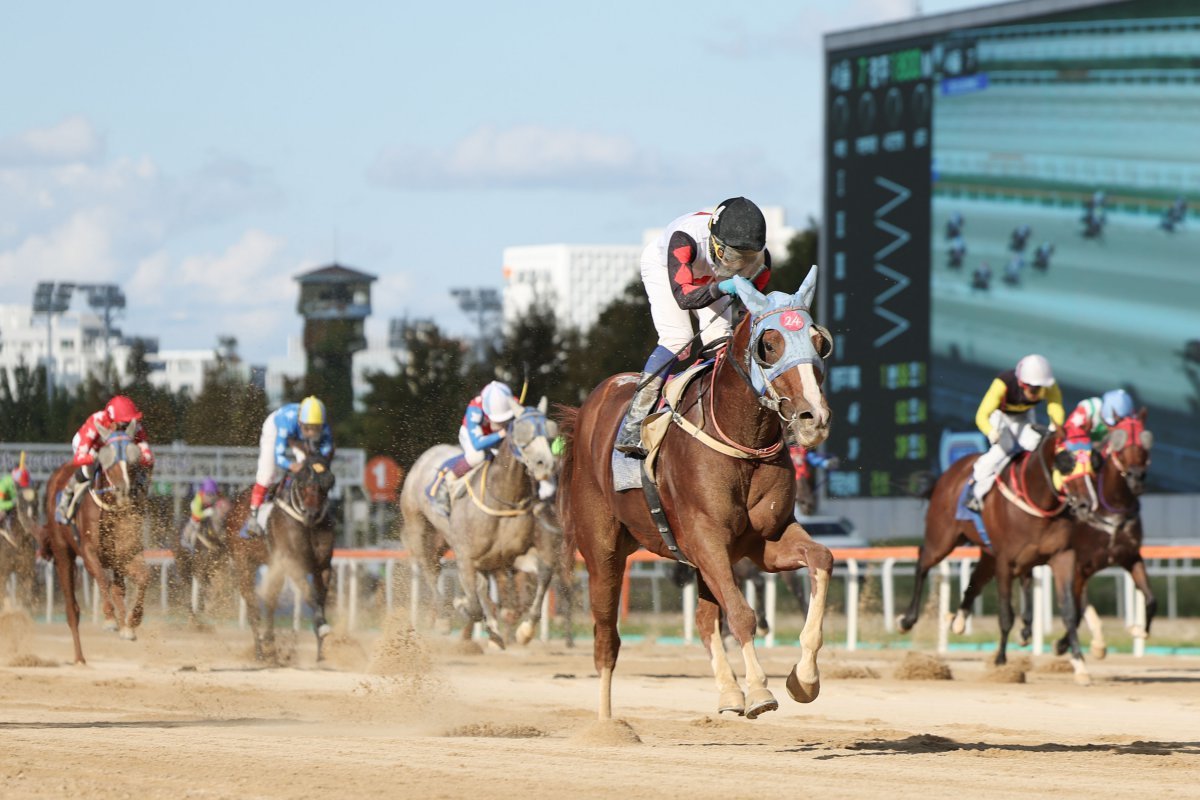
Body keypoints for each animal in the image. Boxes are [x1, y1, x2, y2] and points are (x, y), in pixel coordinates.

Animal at [43, 431, 152, 662]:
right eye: (107, 459)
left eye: (133, 459)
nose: (124, 489)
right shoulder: (89, 552)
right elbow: (101, 579)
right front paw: (110, 620)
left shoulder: (126, 554)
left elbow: (143, 577)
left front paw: (131, 623)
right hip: (62, 552)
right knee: (72, 609)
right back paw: (80, 658)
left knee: (118, 589)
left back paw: (124, 624)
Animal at [225, 453, 336, 666]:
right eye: (302, 482)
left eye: (329, 483)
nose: (312, 514)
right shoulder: (294, 564)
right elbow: (309, 595)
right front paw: (321, 627)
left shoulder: (323, 566)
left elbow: (320, 598)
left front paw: (320, 649)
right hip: (244, 562)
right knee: (252, 606)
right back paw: (260, 652)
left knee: (270, 600)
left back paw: (270, 646)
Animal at [398, 398, 556, 647]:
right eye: (522, 434)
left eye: (549, 435)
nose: (545, 464)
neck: (502, 499)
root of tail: (426, 456)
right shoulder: (465, 557)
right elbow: (472, 607)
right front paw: (462, 608)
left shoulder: (510, 556)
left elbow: (544, 572)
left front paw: (524, 630)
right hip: (419, 528)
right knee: (430, 570)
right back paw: (444, 619)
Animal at [561, 272, 835, 724]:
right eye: (769, 344)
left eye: (819, 341)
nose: (814, 418)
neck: (741, 439)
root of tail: (589, 406)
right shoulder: (706, 536)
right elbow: (741, 613)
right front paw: (760, 691)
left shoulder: (763, 541)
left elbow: (821, 559)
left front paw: (805, 679)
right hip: (602, 548)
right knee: (606, 639)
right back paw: (605, 724)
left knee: (706, 619)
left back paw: (728, 692)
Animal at [902, 429, 1099, 686]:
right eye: (1067, 460)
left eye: (1094, 460)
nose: (1087, 503)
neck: (1036, 498)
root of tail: (948, 475)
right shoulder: (1005, 561)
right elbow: (1006, 615)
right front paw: (1001, 662)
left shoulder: (1062, 556)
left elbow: (1068, 610)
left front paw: (1080, 665)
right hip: (942, 539)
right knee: (922, 562)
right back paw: (907, 620)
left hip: (989, 555)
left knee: (976, 581)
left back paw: (959, 620)